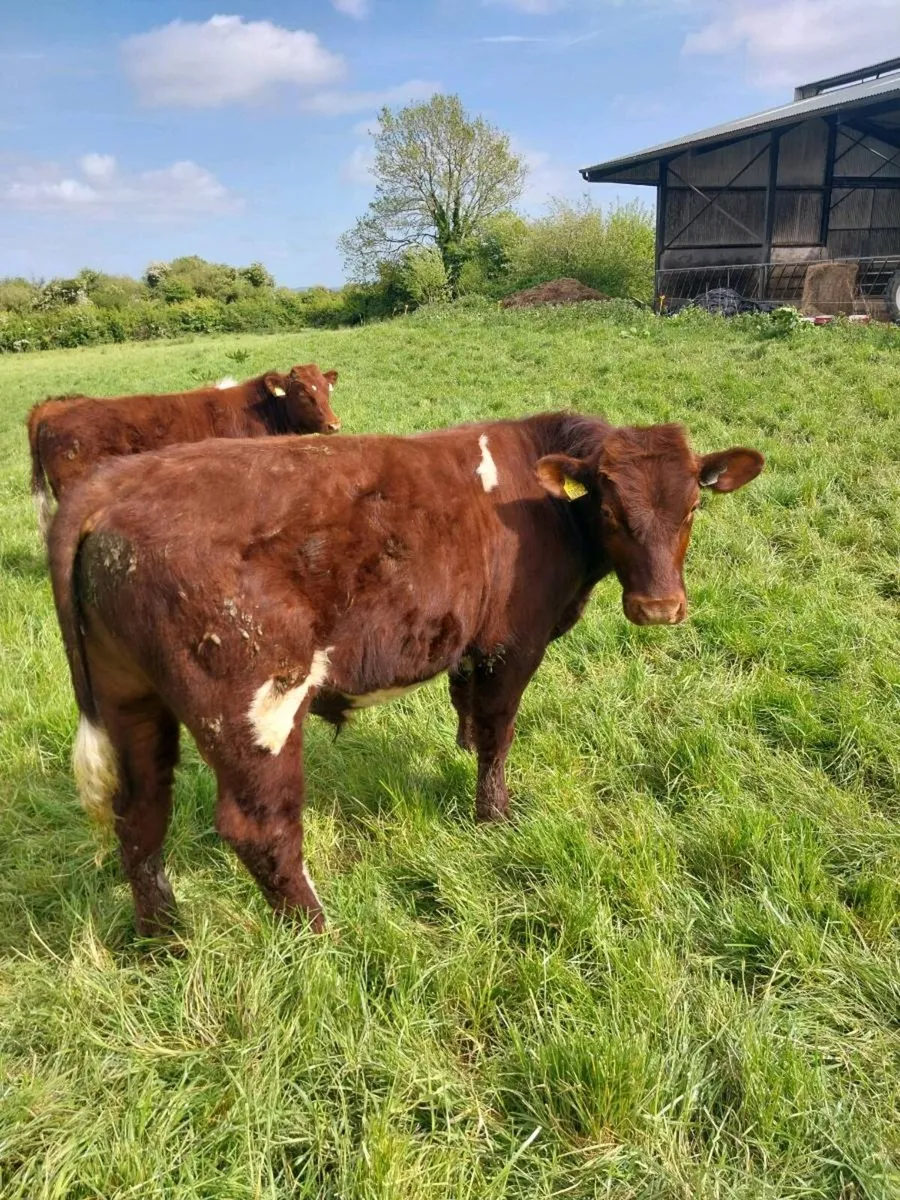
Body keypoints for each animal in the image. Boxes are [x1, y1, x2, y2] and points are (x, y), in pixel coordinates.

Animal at [48, 411, 763, 936]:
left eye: (692, 509)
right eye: (611, 511)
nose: (659, 607)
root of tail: (117, 482)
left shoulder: (470, 649)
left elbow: (470, 714)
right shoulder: (512, 644)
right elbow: (498, 732)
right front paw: (495, 819)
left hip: (131, 699)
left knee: (140, 814)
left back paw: (163, 937)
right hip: (254, 702)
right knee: (260, 827)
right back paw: (320, 936)